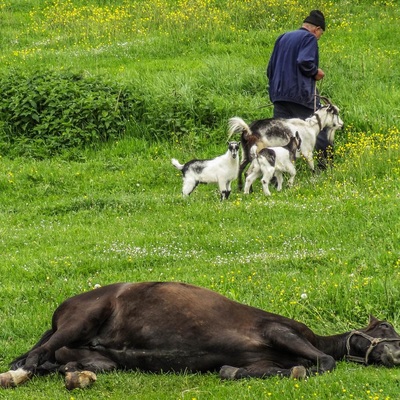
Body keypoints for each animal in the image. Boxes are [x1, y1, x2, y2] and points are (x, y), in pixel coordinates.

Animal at [0, 282, 400, 390]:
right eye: (386, 328)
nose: (397, 354)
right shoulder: (278, 331)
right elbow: (327, 361)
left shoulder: (261, 359)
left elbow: (258, 371)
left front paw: (234, 372)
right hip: (80, 321)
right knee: (31, 360)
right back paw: (15, 376)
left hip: (94, 356)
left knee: (51, 363)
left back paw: (77, 376)